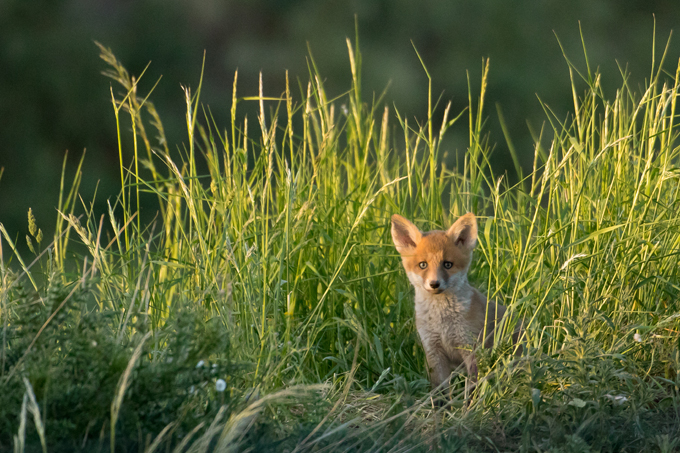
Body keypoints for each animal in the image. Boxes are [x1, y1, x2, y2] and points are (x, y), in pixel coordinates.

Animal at [391, 212, 514, 389]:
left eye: (447, 264)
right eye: (423, 265)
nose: (434, 284)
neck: (442, 323)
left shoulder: (471, 350)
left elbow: (473, 389)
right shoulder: (433, 351)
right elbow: (440, 392)